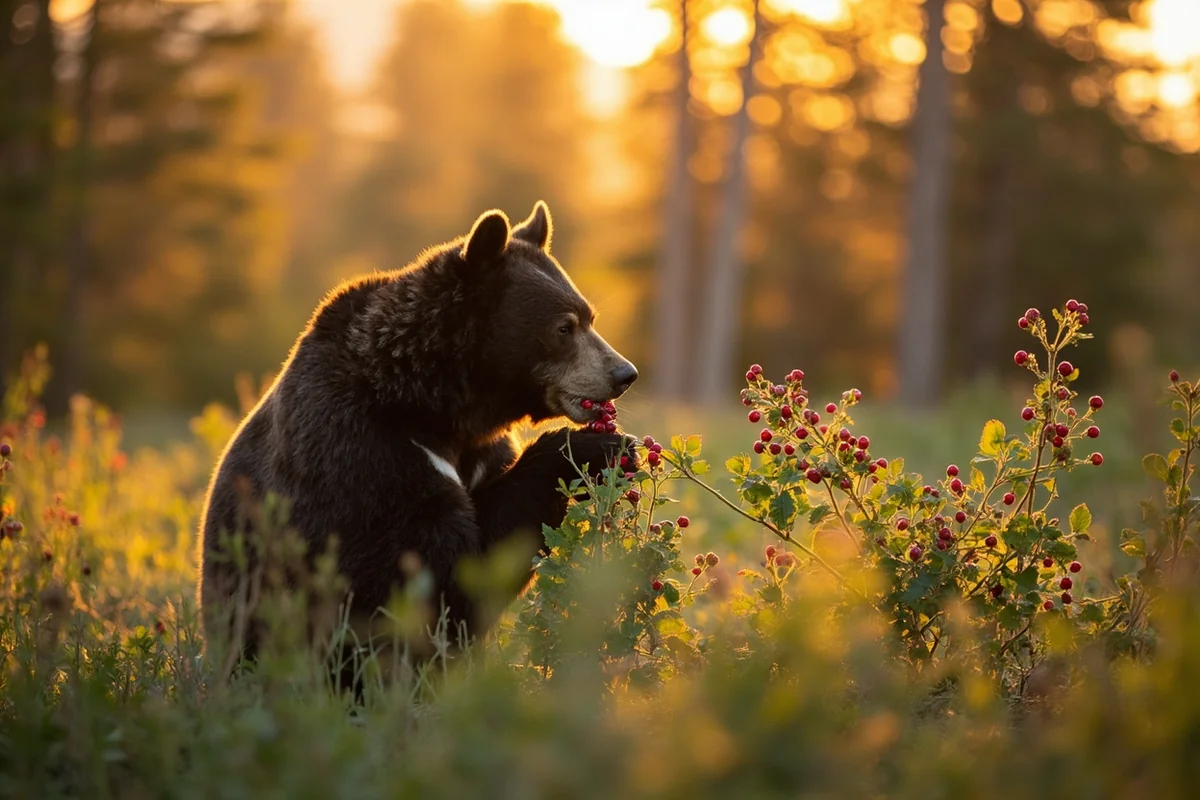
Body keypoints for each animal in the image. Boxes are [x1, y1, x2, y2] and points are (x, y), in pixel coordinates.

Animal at [198, 201, 637, 672]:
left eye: (590, 318)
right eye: (564, 327)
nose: (623, 373)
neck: (431, 405)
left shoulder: (481, 451)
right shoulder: (360, 453)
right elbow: (433, 570)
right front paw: (594, 449)